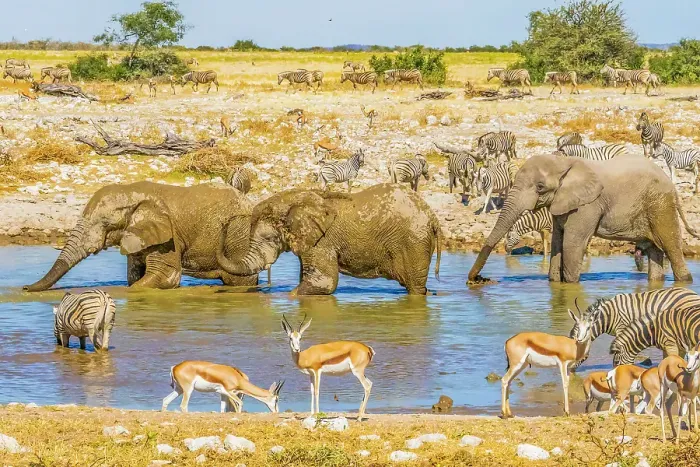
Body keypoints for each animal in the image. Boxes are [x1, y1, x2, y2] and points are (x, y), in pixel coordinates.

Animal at [24, 181, 259, 291]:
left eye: (105, 224)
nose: (24, 288)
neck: (130, 191)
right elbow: (135, 276)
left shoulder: (168, 236)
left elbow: (164, 276)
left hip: (238, 232)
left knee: (238, 279)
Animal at [216, 184, 442, 295]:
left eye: (270, 238)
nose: (224, 223)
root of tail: (431, 216)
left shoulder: (322, 241)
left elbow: (323, 282)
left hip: (414, 243)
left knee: (415, 288)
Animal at [468, 153, 700, 284]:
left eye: (540, 187)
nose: (478, 279)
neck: (563, 163)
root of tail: (672, 187)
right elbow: (558, 242)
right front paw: (555, 284)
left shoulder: (588, 205)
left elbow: (572, 243)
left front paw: (570, 285)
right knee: (655, 250)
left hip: (661, 205)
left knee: (671, 247)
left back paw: (685, 280)